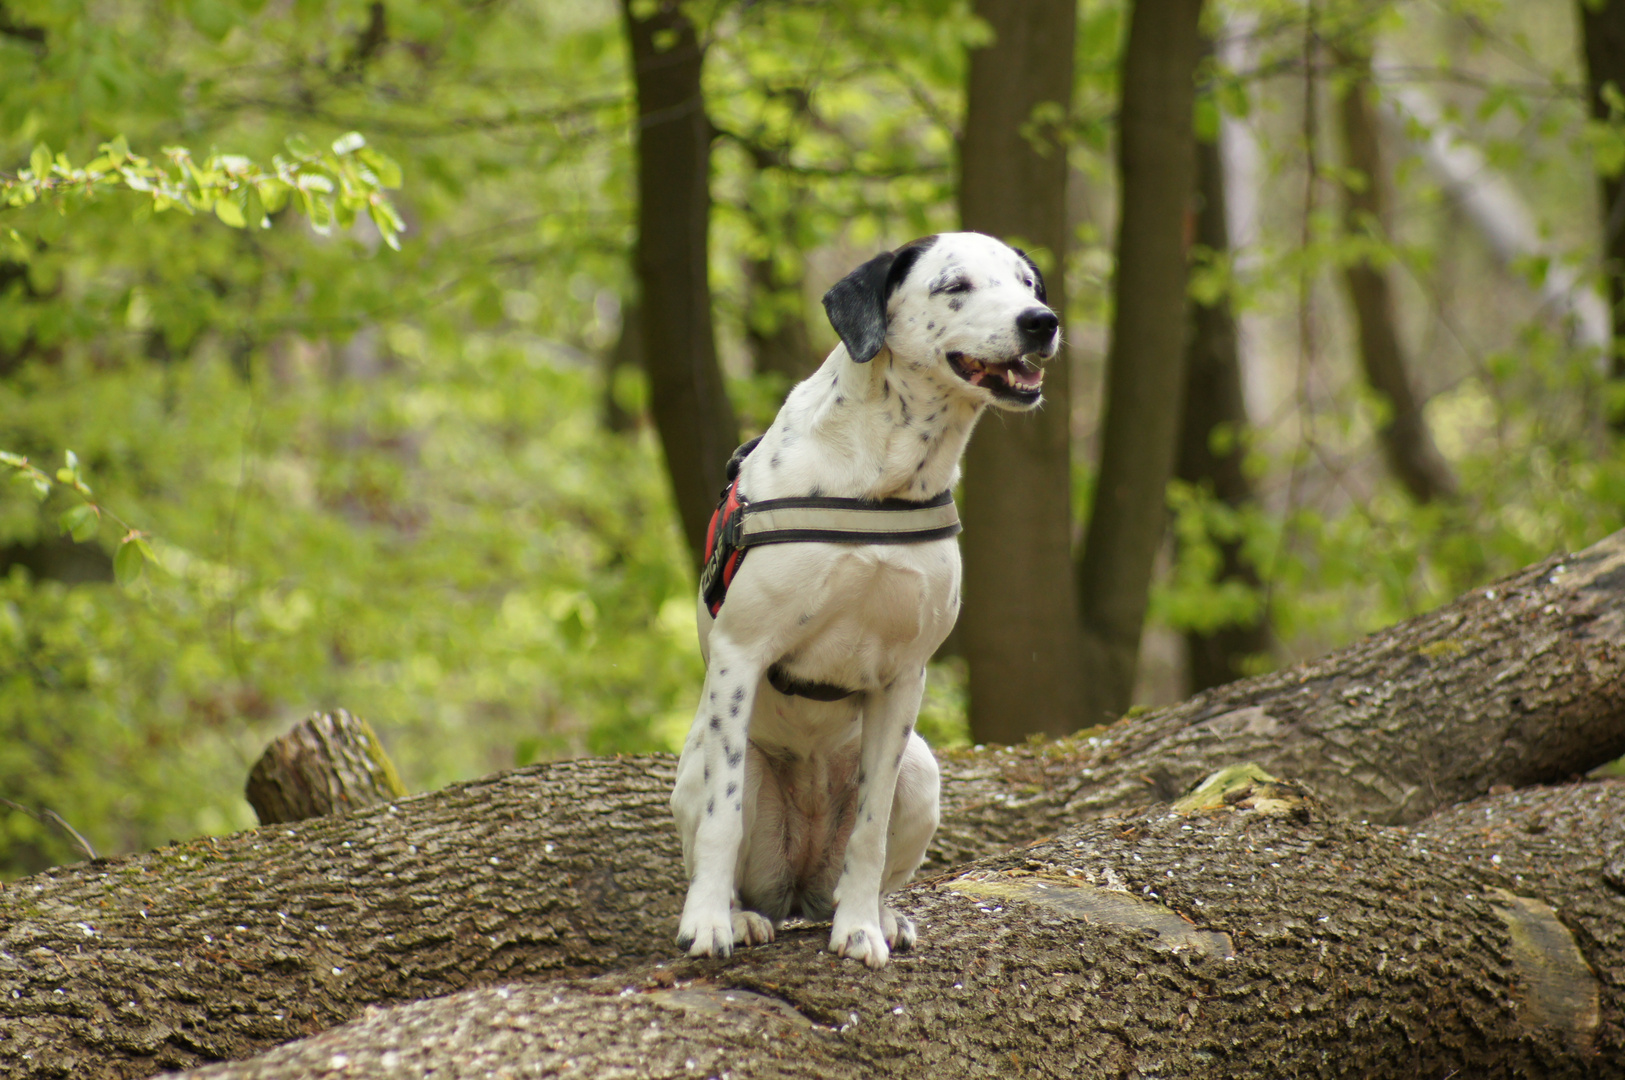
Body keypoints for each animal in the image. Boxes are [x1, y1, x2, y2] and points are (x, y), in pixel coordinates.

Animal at [666, 228, 1059, 967]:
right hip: (707, 759)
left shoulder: (905, 678)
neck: (886, 474)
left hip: (922, 771)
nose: (1041, 323)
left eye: (1028, 285)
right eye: (954, 285)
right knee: (726, 838)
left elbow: (869, 834)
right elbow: (722, 819)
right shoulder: (740, 655)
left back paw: (878, 913)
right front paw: (705, 923)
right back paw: (738, 914)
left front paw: (859, 929)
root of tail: (796, 888)